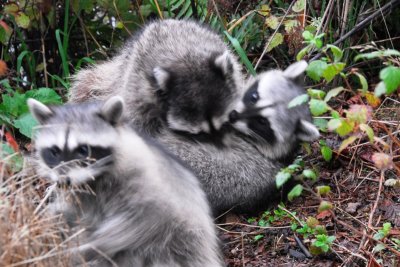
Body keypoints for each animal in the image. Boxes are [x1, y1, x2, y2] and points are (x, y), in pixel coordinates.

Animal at [27, 97, 223, 267]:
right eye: (54, 151)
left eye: (83, 150)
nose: (63, 181)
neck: (94, 176)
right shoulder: (82, 193)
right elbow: (76, 212)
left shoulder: (141, 179)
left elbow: (145, 219)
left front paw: (93, 246)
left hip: (180, 240)